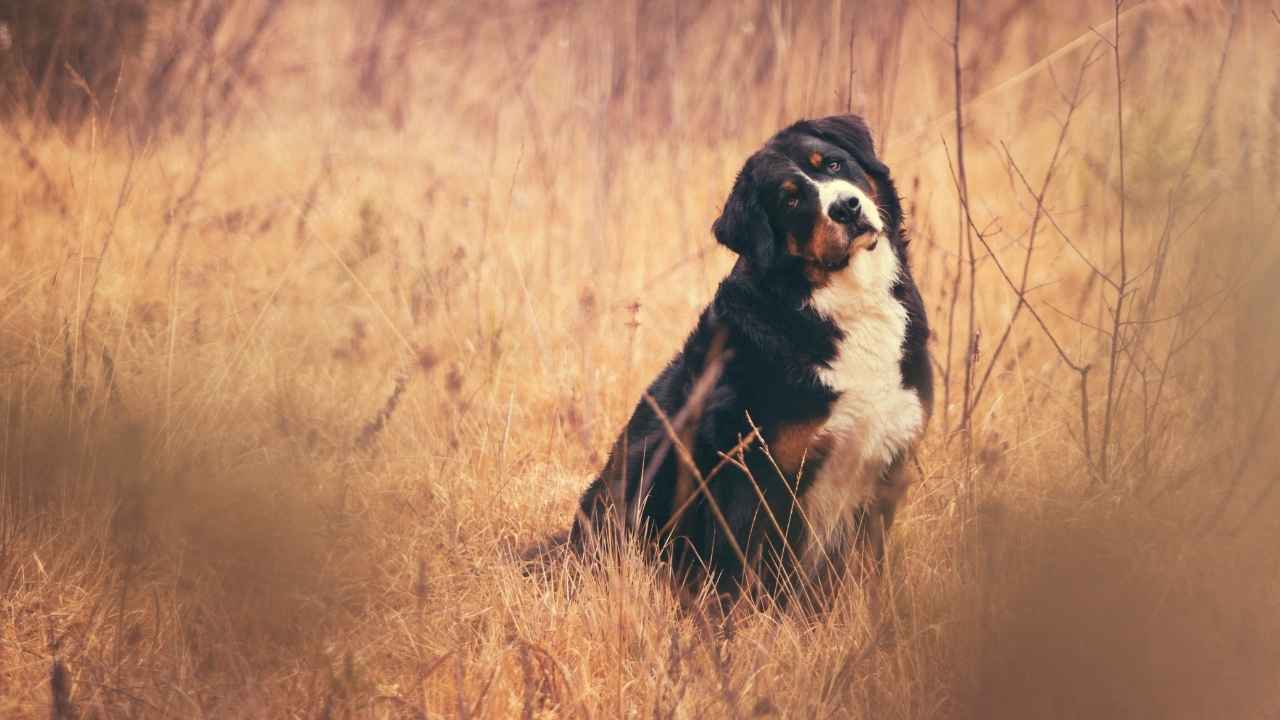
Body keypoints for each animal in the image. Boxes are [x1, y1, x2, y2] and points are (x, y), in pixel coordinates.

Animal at [570, 114, 931, 607]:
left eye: (832, 164)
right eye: (790, 198)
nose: (846, 207)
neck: (840, 303)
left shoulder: (887, 460)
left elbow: (865, 571)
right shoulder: (753, 474)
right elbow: (744, 578)